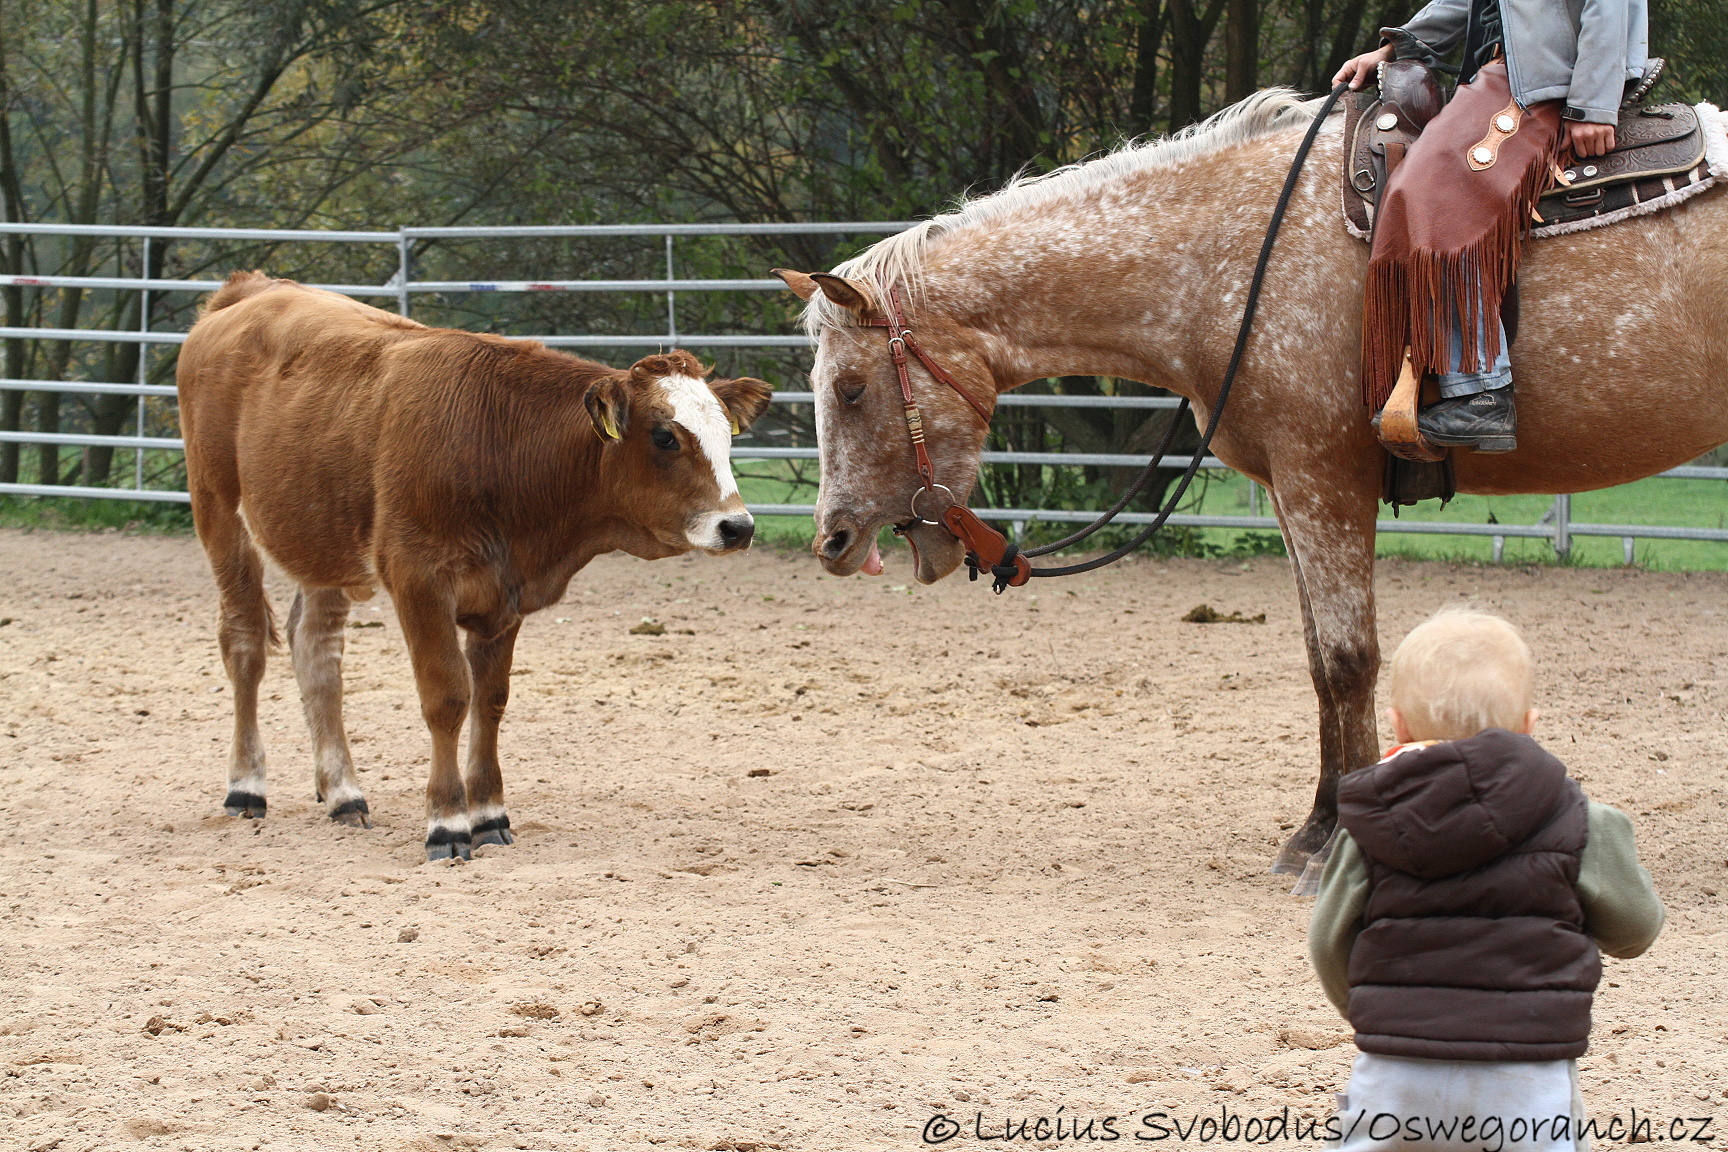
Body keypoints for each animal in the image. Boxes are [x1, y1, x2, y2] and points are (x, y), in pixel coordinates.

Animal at [178, 274, 767, 860]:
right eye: (665, 436)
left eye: (726, 437)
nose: (738, 527)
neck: (497, 443)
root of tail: (250, 290)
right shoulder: (418, 579)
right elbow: (447, 697)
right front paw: (447, 821)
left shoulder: (507, 594)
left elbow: (490, 701)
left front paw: (488, 814)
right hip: (218, 512)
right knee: (245, 643)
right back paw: (246, 786)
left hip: (323, 543)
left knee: (317, 653)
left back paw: (343, 792)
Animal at [777, 92, 1728, 873]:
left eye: (850, 389)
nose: (832, 539)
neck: (1227, 258)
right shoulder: (1288, 487)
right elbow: (1317, 661)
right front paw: (1315, 827)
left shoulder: (1323, 475)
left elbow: (1349, 657)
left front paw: (1343, 843)